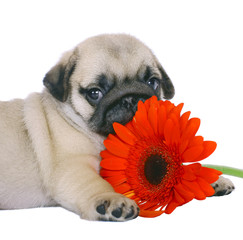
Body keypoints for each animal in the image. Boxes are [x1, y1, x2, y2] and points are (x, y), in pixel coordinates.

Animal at [0, 34, 235, 221]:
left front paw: (210, 179)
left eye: (152, 82)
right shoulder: (73, 168)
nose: (130, 98)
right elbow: (94, 184)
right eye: (95, 93)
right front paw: (110, 200)